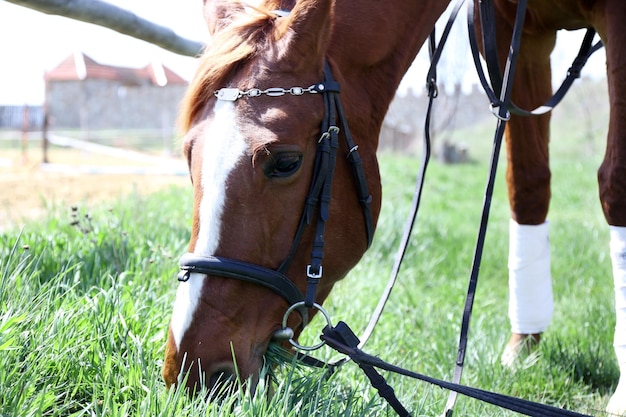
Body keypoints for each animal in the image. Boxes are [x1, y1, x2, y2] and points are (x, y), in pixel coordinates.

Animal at [162, 0, 624, 412]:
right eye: (188, 155)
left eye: (286, 162)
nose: (191, 365)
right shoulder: (520, 31)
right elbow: (527, 185)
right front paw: (523, 345)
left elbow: (614, 184)